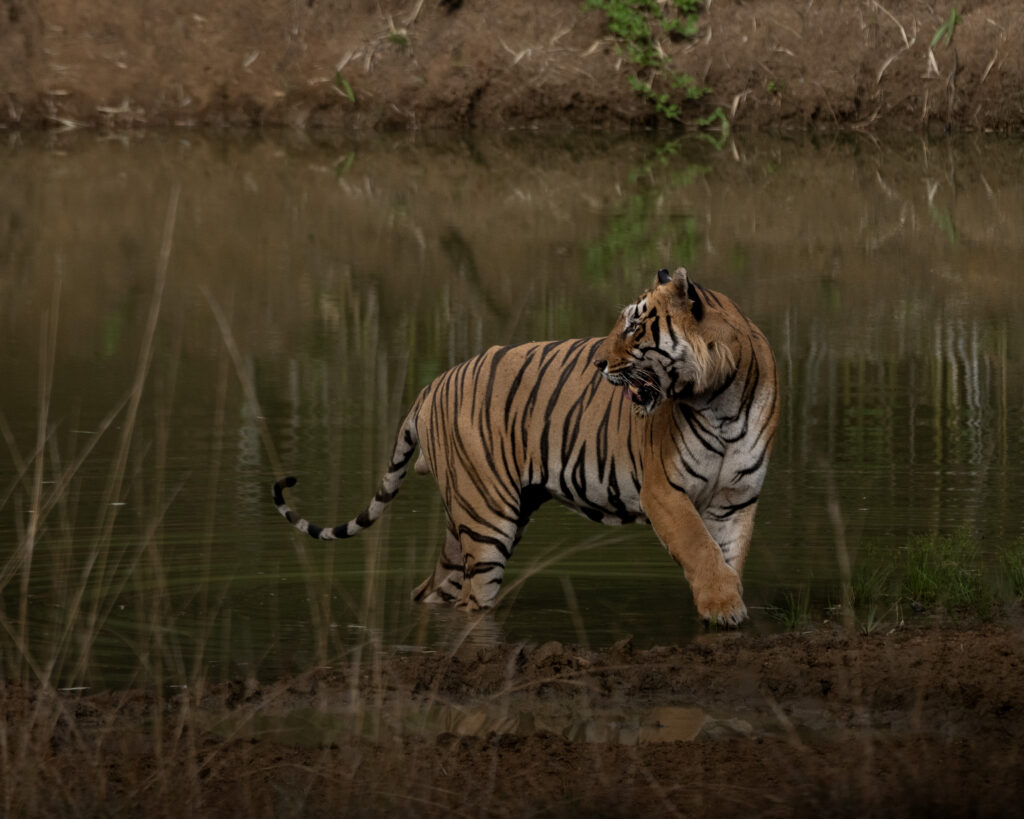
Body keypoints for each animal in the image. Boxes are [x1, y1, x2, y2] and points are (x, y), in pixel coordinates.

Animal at [272, 266, 774, 622]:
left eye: (634, 328)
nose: (597, 363)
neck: (720, 398)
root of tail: (430, 386)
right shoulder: (664, 491)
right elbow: (698, 547)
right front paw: (724, 607)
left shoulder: (735, 499)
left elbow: (726, 554)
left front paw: (725, 604)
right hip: (487, 519)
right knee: (472, 598)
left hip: (465, 518)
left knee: (434, 589)